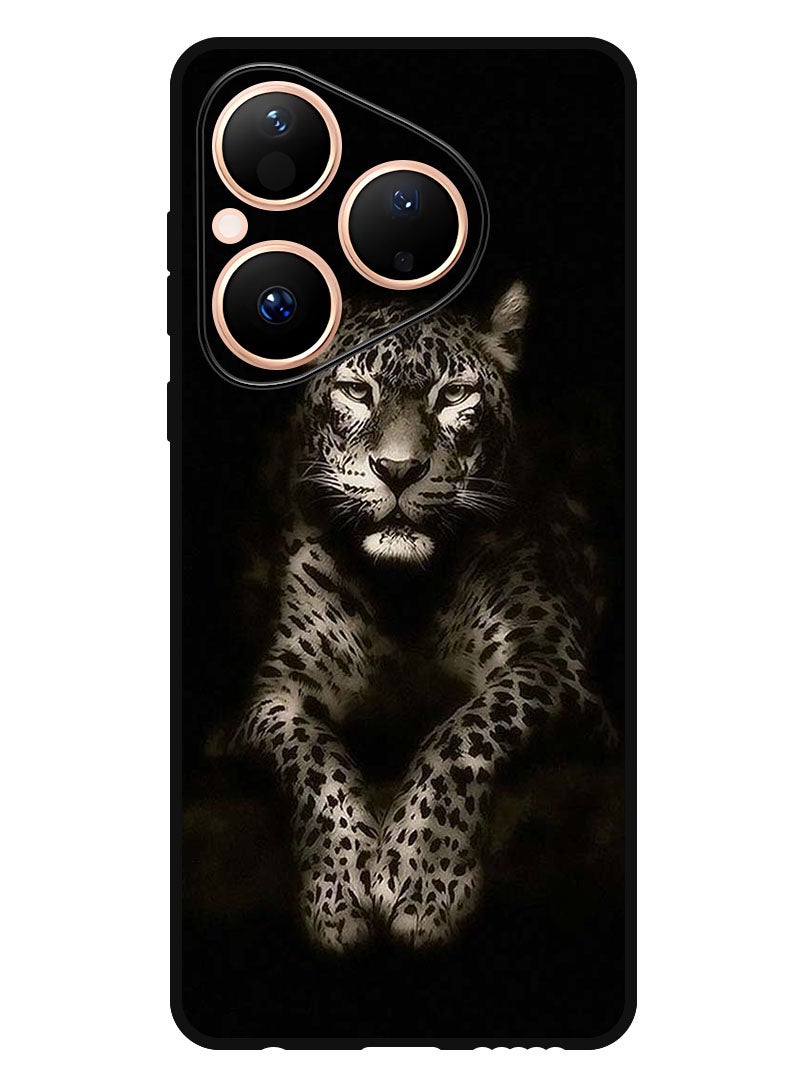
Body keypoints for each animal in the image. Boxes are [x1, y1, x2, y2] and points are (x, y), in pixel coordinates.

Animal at [228, 281, 618, 952]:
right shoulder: (275, 693)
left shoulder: (551, 663)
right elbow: (313, 759)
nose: (399, 470)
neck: (403, 593)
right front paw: (339, 890)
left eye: (454, 394)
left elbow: (462, 732)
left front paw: (421, 879)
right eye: (358, 391)